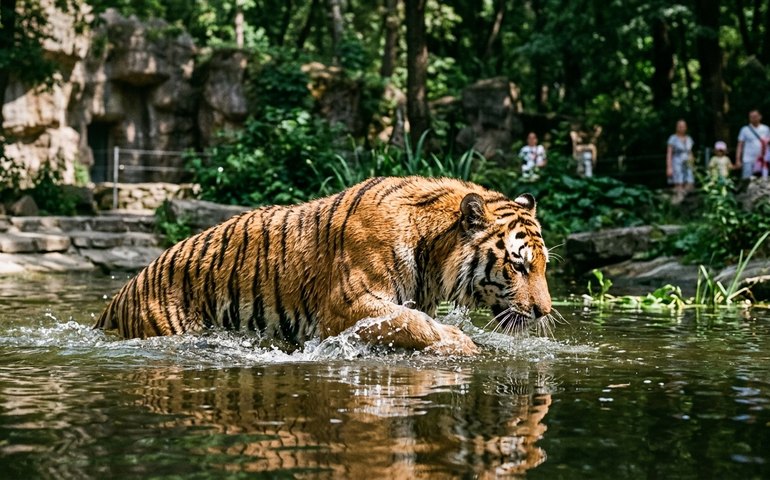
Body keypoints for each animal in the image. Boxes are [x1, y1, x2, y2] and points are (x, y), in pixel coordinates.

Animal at [95, 176, 552, 355]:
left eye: (544, 267)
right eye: (519, 266)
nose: (544, 312)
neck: (433, 251)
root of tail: (120, 295)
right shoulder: (347, 304)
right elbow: (415, 323)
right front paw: (463, 345)